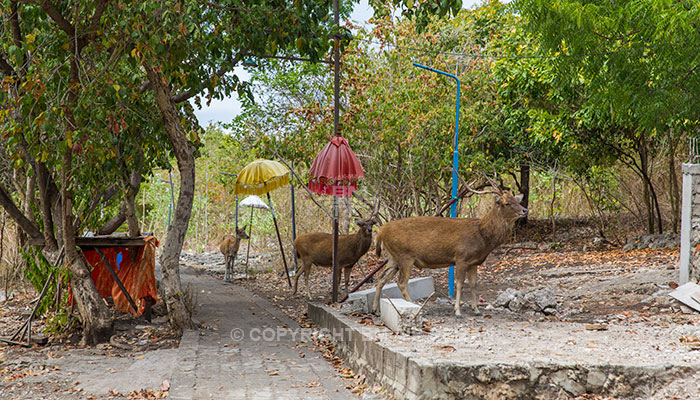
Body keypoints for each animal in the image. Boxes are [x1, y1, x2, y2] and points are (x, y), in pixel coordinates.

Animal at [372, 180, 524, 318]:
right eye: (507, 203)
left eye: (517, 201)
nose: (525, 210)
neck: (482, 237)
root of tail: (381, 231)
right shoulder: (461, 257)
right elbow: (460, 284)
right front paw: (458, 311)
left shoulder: (473, 262)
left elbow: (473, 284)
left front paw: (477, 310)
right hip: (405, 256)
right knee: (401, 282)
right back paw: (418, 308)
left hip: (393, 257)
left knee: (381, 278)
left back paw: (376, 310)